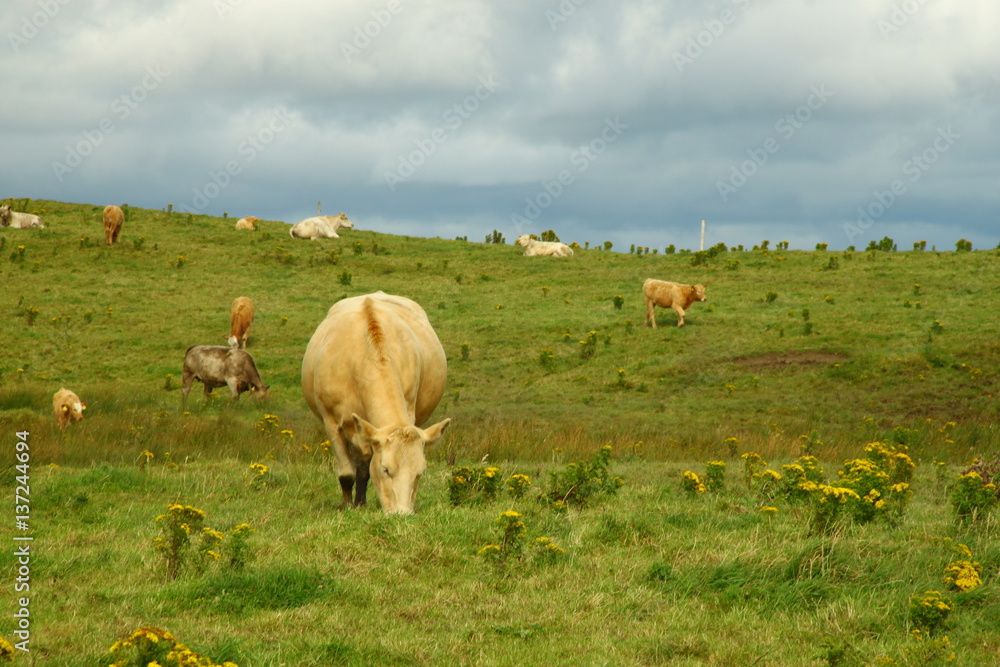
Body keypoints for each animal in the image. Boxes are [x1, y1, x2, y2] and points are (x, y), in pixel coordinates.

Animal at [301, 291, 450, 514]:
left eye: (419, 473)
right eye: (386, 469)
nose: (402, 514)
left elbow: (364, 468)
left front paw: (359, 502)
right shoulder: (331, 422)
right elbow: (347, 474)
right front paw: (347, 505)